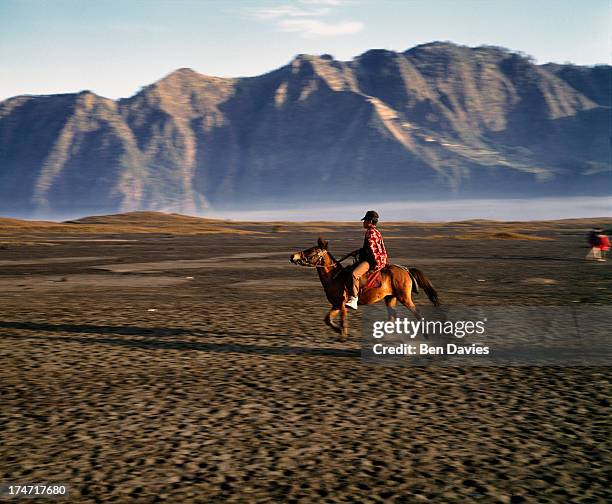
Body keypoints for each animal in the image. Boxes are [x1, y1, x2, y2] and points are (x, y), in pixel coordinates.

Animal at [292, 238, 440, 340]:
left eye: (311, 251)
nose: (293, 256)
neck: (335, 277)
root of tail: (406, 270)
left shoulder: (342, 303)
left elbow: (343, 318)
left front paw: (342, 333)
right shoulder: (335, 304)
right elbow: (327, 319)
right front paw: (339, 331)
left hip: (404, 298)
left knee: (417, 313)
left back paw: (426, 336)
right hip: (390, 298)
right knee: (392, 318)